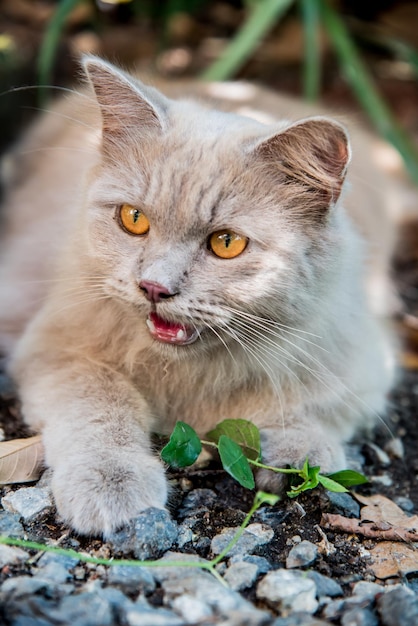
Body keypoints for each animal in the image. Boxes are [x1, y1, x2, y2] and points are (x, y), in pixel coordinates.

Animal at [0, 57, 396, 532]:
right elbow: (99, 401)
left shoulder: (360, 359)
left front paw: (299, 458)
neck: (185, 378)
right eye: (133, 218)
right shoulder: (55, 347)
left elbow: (315, 405)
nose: (154, 286)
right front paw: (112, 482)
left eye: (227, 243)